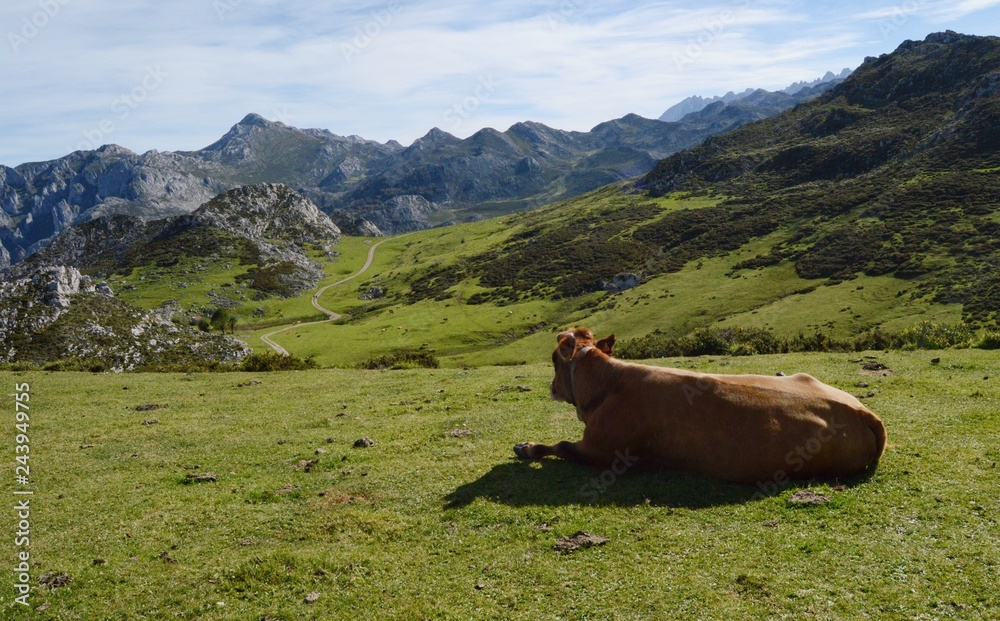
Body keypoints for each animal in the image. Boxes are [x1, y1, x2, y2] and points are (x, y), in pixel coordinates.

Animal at [514, 328, 887, 485]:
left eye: (553, 359)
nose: (551, 387)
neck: (607, 384)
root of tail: (864, 413)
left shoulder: (601, 449)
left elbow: (562, 445)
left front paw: (527, 447)